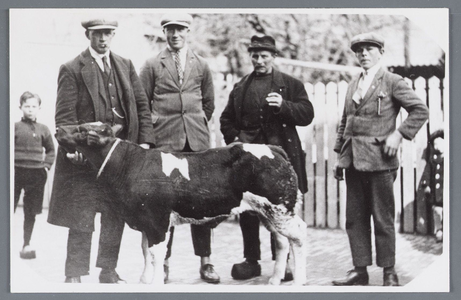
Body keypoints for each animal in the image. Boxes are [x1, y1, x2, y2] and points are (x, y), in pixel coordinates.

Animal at [55, 122, 308, 286]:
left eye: (82, 130)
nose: (58, 129)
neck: (129, 166)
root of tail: (273, 148)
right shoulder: (144, 220)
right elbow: (145, 251)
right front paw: (145, 279)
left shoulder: (157, 220)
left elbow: (156, 253)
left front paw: (155, 283)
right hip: (269, 212)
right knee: (282, 241)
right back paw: (275, 280)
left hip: (280, 208)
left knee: (299, 235)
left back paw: (299, 281)